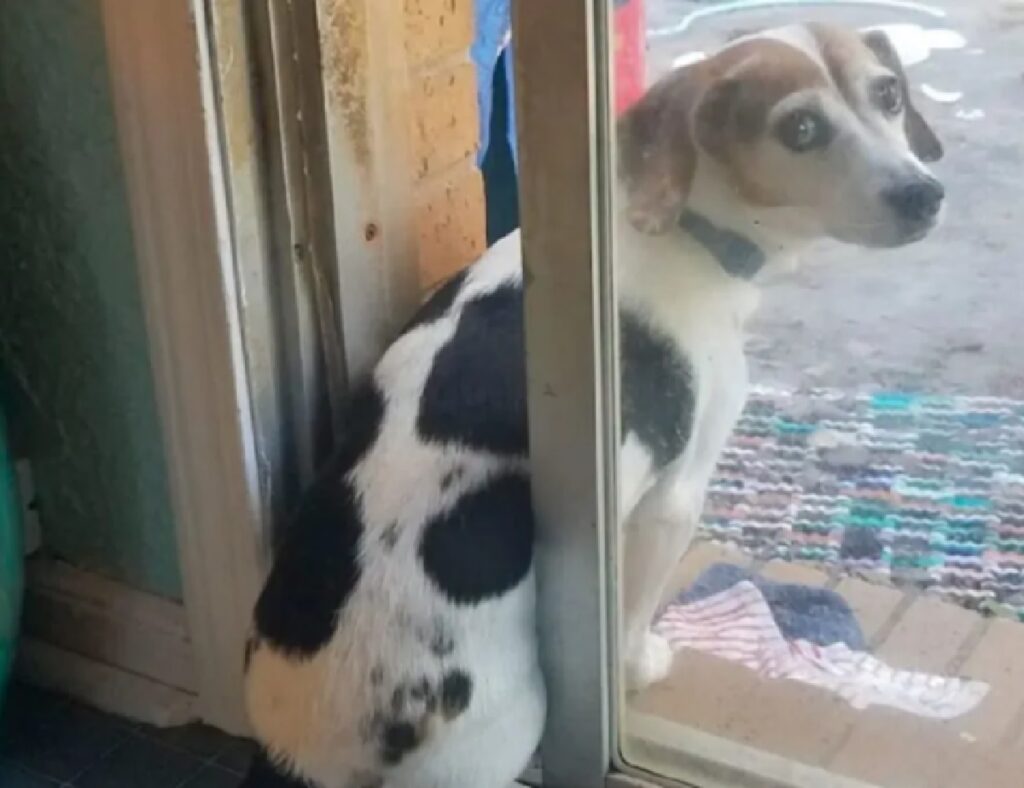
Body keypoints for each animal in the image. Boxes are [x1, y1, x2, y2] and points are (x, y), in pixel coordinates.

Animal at [239, 23, 942, 785]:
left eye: (889, 94)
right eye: (801, 128)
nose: (923, 194)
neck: (689, 229)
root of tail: (306, 753)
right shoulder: (674, 500)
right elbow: (635, 612)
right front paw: (639, 667)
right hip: (507, 725)